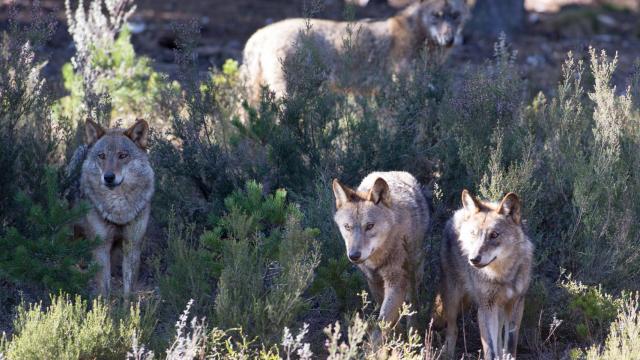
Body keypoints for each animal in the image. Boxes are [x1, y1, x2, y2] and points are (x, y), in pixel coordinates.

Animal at [332, 172, 432, 330]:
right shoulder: (373, 281)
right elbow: (385, 317)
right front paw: (396, 332)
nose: (354, 256)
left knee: (412, 300)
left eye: (370, 226)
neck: (378, 258)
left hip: (414, 270)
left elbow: (383, 322)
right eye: (347, 227)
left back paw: (413, 328)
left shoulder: (396, 281)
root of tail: (394, 172)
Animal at [436, 190, 536, 358]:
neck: (502, 275)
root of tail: (458, 212)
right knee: (453, 330)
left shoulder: (516, 304)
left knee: (499, 340)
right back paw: (448, 354)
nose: (473, 259)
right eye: (474, 234)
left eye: (494, 235)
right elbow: (490, 348)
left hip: (499, 309)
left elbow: (509, 345)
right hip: (453, 298)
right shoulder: (485, 308)